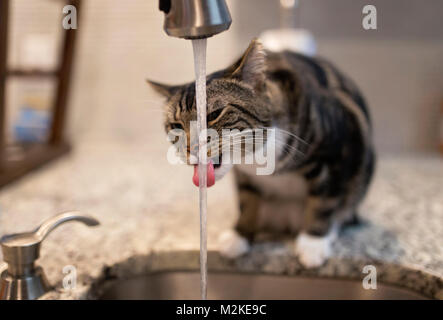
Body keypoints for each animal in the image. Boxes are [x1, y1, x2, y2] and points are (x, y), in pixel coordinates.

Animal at [148, 37, 374, 268]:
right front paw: (240, 235)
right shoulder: (245, 177)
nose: (190, 147)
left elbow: (323, 202)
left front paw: (313, 243)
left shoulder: (333, 153)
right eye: (175, 125)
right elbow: (248, 202)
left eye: (213, 115)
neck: (257, 157)